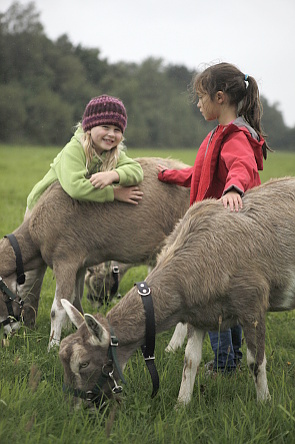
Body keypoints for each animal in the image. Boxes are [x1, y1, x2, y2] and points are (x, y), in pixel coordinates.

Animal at [0, 158, 190, 348]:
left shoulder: (65, 261)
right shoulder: (78, 266)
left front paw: (53, 346)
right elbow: (74, 300)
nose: (7, 332)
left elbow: (57, 310)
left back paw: (174, 344)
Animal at [59, 178, 295, 410]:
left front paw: (264, 402)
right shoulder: (200, 315)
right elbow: (190, 361)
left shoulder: (252, 305)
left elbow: (256, 362)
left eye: (84, 363)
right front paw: (181, 406)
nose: (76, 408)